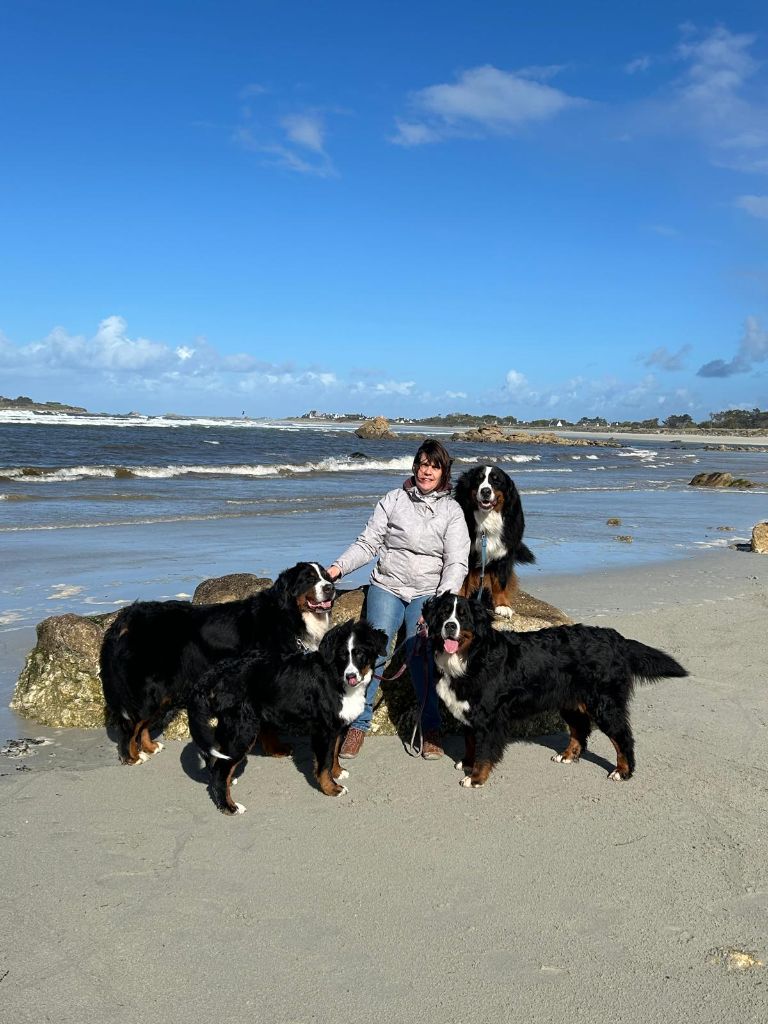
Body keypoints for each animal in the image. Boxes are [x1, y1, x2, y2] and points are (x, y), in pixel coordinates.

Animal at [100, 561, 335, 765]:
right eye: (309, 579)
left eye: (326, 576)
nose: (330, 588)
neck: (287, 616)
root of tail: (128, 616)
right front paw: (275, 749)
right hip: (149, 688)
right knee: (131, 724)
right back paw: (132, 756)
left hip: (162, 689)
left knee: (143, 723)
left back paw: (149, 747)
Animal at [187, 619, 388, 813]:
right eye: (342, 655)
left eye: (360, 653)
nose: (351, 676)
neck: (337, 678)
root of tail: (219, 670)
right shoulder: (323, 731)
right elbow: (324, 763)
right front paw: (331, 788)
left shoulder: (337, 727)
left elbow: (334, 754)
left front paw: (338, 772)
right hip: (242, 731)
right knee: (221, 771)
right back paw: (229, 807)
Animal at [423, 590, 688, 789]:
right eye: (444, 613)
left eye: (463, 617)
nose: (450, 626)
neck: (470, 657)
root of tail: (616, 639)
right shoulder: (469, 712)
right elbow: (470, 742)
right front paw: (467, 763)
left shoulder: (488, 717)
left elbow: (484, 750)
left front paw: (476, 777)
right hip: (571, 702)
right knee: (580, 729)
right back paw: (568, 755)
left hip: (604, 704)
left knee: (622, 737)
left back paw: (622, 771)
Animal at [453, 465, 535, 617]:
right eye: (478, 479)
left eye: (496, 481)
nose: (485, 491)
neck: (486, 522)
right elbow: (462, 580)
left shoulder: (503, 553)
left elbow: (500, 581)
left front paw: (503, 605)